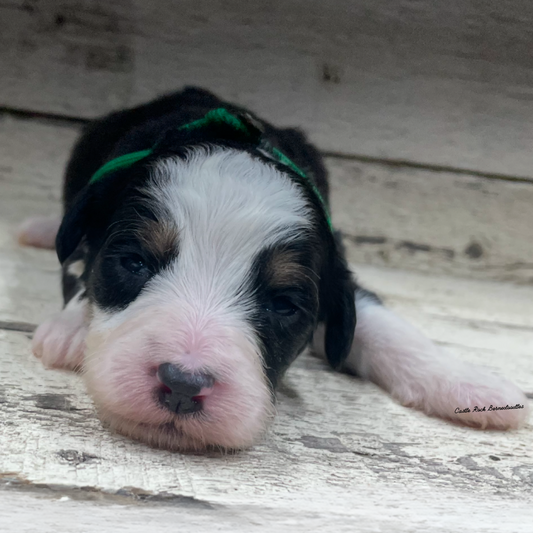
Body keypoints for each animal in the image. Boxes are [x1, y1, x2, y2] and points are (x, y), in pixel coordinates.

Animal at [20, 87, 528, 448]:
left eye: (283, 305)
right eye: (134, 262)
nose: (182, 385)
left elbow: (381, 322)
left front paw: (471, 385)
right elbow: (83, 266)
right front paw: (70, 328)